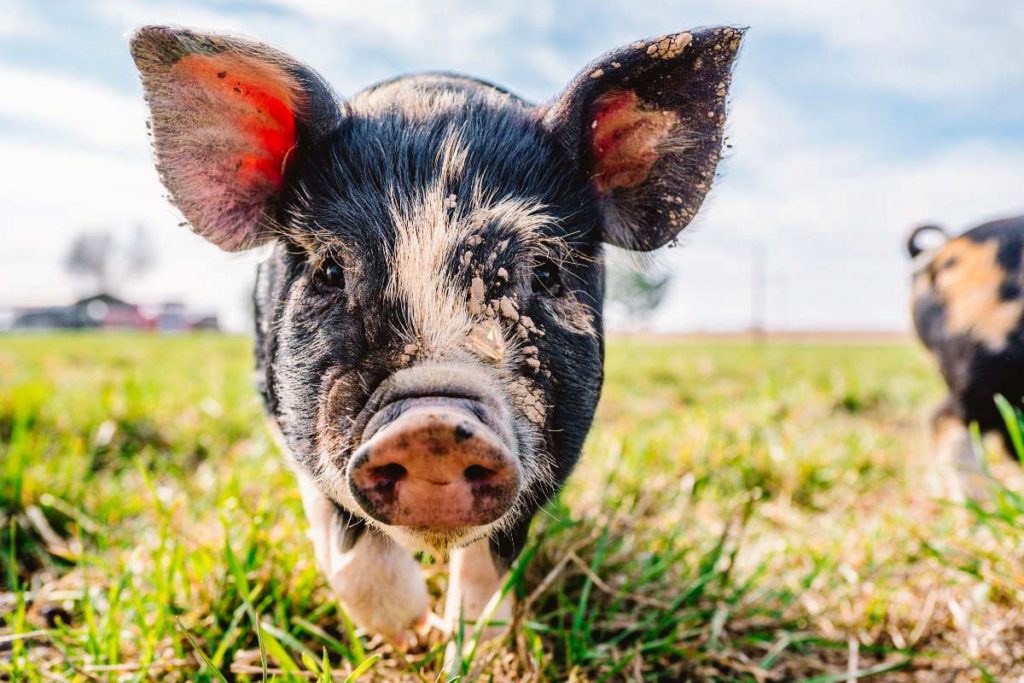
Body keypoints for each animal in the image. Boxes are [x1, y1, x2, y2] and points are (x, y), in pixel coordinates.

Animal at [129, 24, 743, 646]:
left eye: (545, 272)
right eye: (330, 269)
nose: (433, 427)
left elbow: (489, 570)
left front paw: (464, 644)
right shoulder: (290, 421)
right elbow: (349, 552)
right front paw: (415, 634)